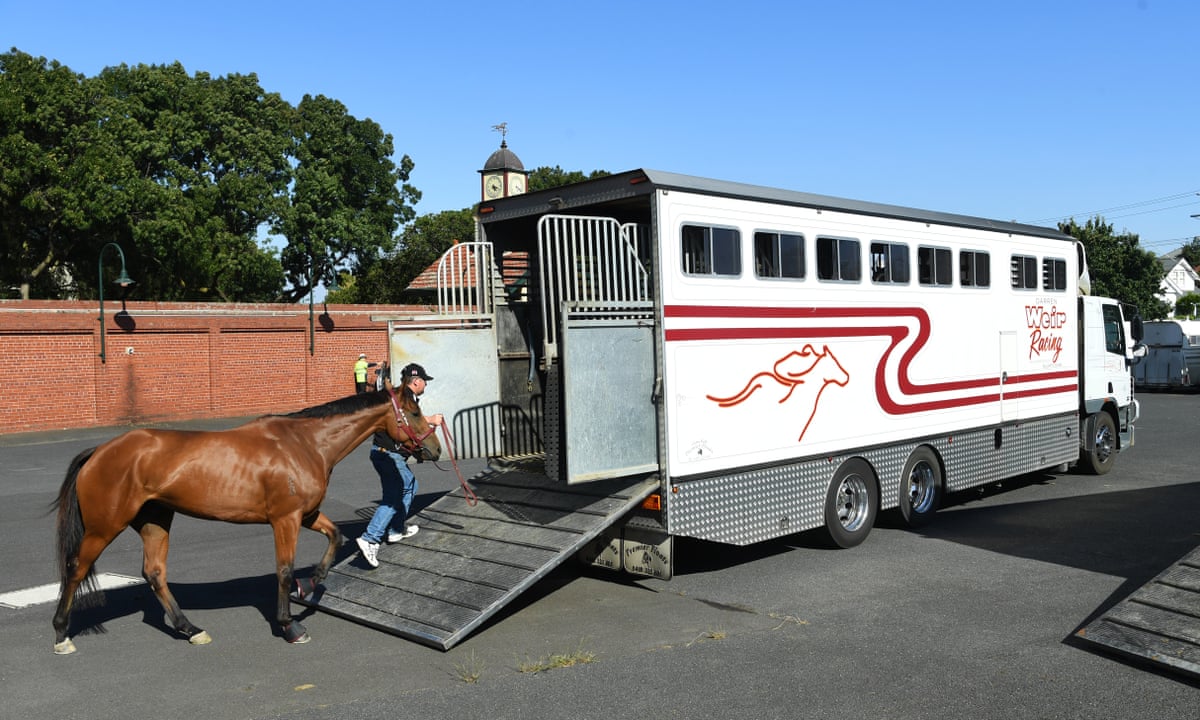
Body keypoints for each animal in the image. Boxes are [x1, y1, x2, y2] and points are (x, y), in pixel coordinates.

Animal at [50, 384, 441, 655]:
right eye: (414, 413)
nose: (435, 449)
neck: (305, 443)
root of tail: (99, 452)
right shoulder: (285, 520)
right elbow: (284, 569)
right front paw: (289, 626)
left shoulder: (307, 515)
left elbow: (335, 538)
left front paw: (309, 584)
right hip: (104, 527)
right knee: (75, 569)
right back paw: (61, 633)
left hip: (155, 520)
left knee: (155, 573)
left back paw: (190, 629)